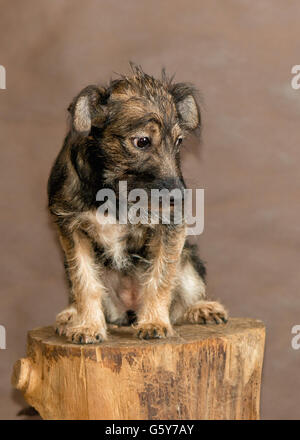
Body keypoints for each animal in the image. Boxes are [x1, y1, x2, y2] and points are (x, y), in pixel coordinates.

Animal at [48, 64, 227, 344]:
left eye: (179, 141)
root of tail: (129, 312)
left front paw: (154, 321)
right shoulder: (70, 228)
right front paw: (88, 325)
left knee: (181, 302)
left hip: (190, 259)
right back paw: (71, 315)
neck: (115, 191)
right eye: (142, 141)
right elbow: (85, 282)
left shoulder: (170, 226)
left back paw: (201, 308)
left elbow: (161, 277)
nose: (180, 197)